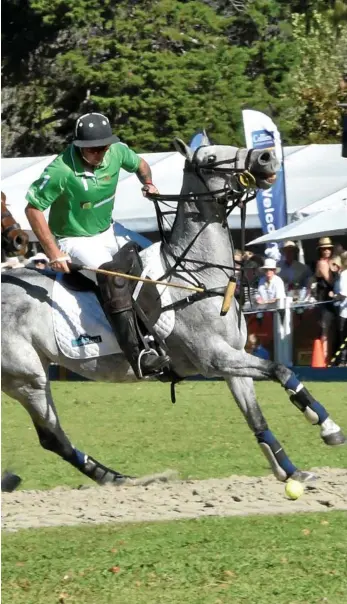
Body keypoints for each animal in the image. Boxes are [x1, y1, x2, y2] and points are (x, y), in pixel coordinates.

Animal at [1, 137, 346, 486]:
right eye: (210, 159)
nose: (266, 156)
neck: (199, 274)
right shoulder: (213, 358)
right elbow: (282, 370)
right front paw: (327, 427)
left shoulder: (231, 360)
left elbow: (256, 416)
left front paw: (290, 469)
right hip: (27, 377)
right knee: (52, 436)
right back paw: (114, 478)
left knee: (53, 436)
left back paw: (116, 478)